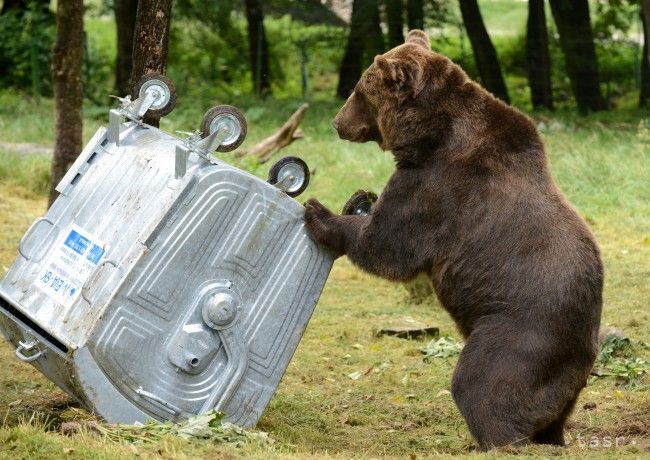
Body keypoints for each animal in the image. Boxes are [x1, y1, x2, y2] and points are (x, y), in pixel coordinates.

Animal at [304, 30, 604, 452]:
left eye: (359, 90)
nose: (337, 122)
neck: (428, 135)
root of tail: (585, 353)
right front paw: (357, 199)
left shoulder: (437, 187)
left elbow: (388, 245)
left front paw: (320, 212)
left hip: (519, 331)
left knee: (482, 382)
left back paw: (494, 439)